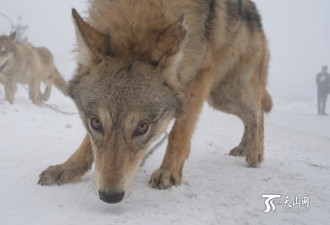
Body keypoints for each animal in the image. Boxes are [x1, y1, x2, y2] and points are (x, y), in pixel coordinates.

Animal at [38, 0, 272, 204]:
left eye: (142, 127)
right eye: (96, 123)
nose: (110, 196)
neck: (138, 14)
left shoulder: (200, 75)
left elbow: (180, 133)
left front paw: (169, 171)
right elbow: (88, 143)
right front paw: (68, 169)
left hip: (231, 91)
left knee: (258, 109)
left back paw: (255, 151)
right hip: (220, 98)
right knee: (251, 113)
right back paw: (243, 147)